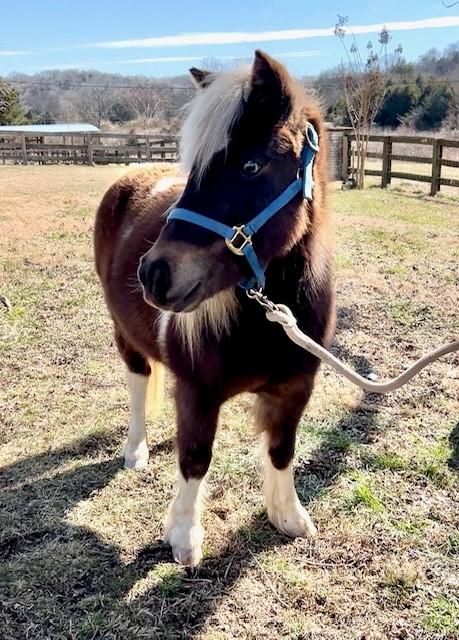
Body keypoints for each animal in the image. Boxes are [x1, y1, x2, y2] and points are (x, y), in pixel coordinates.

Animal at [94, 50, 335, 566]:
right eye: (195, 168)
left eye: (251, 165)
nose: (154, 274)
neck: (268, 318)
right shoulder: (198, 391)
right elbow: (196, 457)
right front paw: (184, 537)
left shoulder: (295, 389)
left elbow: (282, 449)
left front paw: (288, 516)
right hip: (126, 337)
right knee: (138, 386)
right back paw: (136, 451)